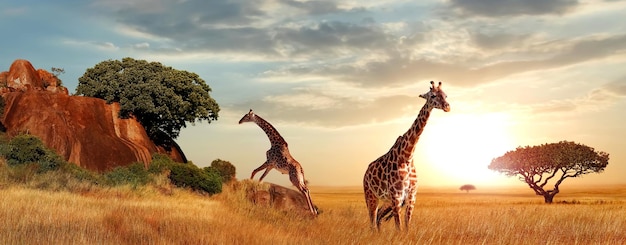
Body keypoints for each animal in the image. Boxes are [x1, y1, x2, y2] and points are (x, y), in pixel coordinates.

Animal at [360, 81, 448, 231]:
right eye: (433, 95)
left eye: (445, 95)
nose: (447, 106)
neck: (407, 156)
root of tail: (366, 173)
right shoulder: (397, 196)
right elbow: (399, 228)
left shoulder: (411, 197)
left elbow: (407, 226)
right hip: (371, 196)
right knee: (372, 221)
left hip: (386, 200)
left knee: (378, 218)